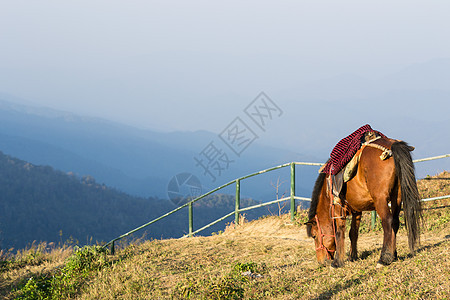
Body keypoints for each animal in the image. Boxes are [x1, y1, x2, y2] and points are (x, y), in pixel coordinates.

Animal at [306, 138, 422, 268]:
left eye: (314, 236)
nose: (321, 261)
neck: (327, 187)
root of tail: (392, 146)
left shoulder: (337, 207)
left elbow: (339, 232)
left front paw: (337, 262)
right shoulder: (357, 210)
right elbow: (353, 233)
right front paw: (352, 256)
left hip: (380, 199)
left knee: (388, 222)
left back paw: (384, 258)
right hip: (397, 197)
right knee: (395, 222)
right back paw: (394, 254)